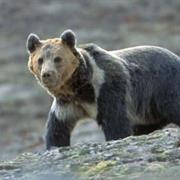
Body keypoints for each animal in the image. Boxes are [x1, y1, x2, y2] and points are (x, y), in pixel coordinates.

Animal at [26, 29, 180, 150]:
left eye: (57, 59)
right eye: (40, 60)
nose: (47, 74)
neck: (80, 88)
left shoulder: (107, 87)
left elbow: (115, 121)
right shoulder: (66, 104)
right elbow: (57, 128)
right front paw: (54, 145)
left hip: (164, 87)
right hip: (148, 111)